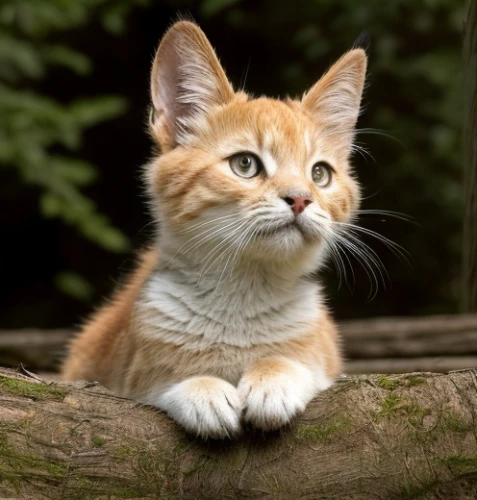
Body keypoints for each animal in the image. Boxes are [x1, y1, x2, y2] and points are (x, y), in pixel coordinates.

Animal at [61, 21, 366, 440]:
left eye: (320, 173)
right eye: (245, 164)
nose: (301, 199)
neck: (240, 299)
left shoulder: (326, 359)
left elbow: (299, 363)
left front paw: (275, 377)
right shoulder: (121, 375)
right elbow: (156, 381)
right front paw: (200, 388)